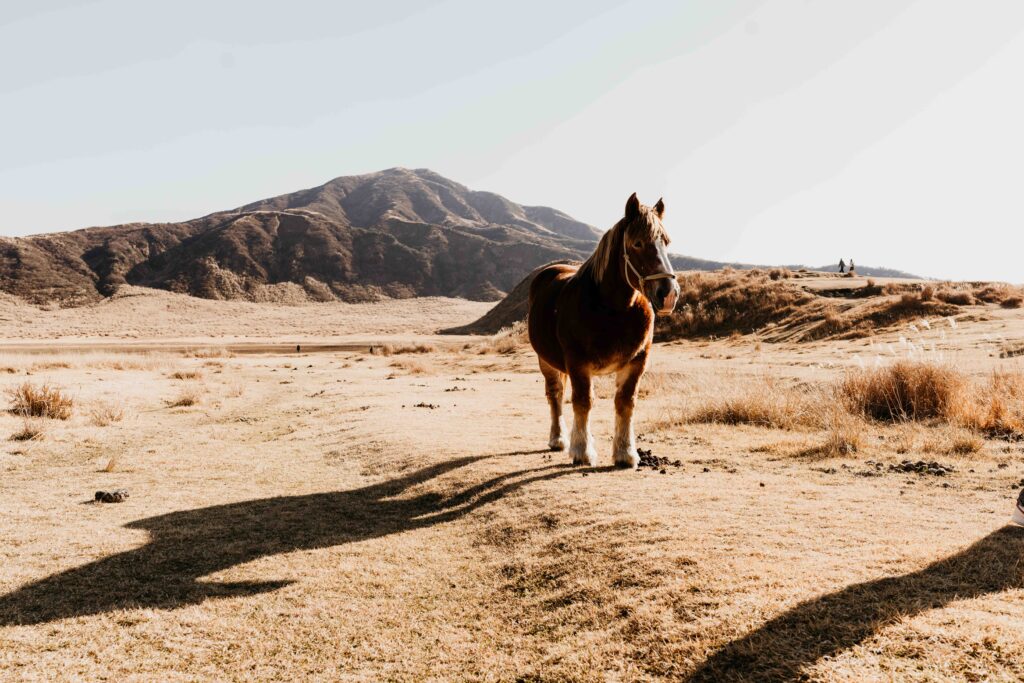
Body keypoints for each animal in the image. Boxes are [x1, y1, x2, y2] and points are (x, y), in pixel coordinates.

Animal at [527, 193, 680, 468]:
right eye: (637, 243)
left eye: (666, 242)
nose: (668, 294)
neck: (613, 310)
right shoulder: (577, 363)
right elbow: (583, 402)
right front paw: (582, 451)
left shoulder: (637, 361)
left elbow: (625, 402)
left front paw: (625, 453)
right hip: (546, 361)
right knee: (555, 395)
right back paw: (558, 439)